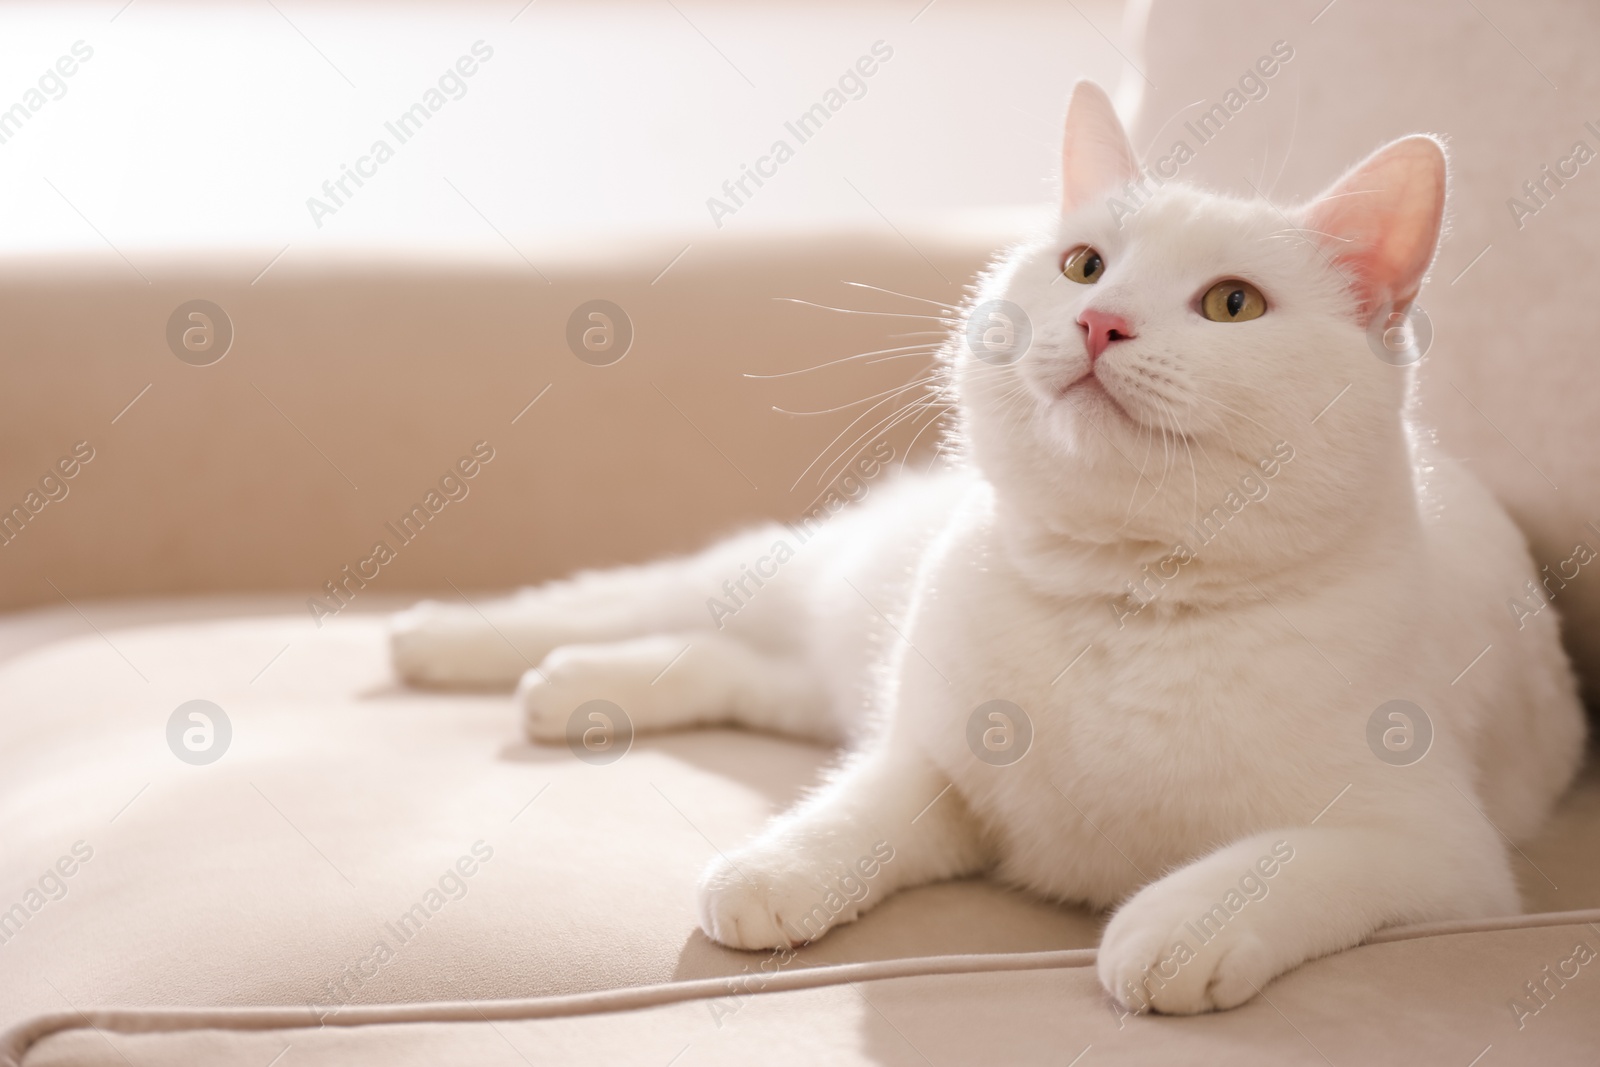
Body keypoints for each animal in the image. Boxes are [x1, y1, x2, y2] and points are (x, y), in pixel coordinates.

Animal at [390, 79, 1587, 1017]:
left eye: (1232, 303)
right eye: (1084, 264)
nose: (1100, 321)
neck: (1123, 601)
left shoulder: (1440, 853)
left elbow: (1282, 861)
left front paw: (1176, 925)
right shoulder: (935, 757)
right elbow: (861, 804)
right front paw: (779, 865)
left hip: (827, 666)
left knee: (729, 665)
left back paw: (575, 691)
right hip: (797, 581)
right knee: (633, 598)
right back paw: (450, 641)